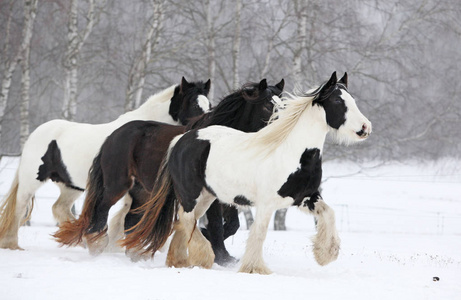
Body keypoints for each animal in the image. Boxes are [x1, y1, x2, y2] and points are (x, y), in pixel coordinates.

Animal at [0, 76, 210, 250]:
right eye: (194, 103)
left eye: (209, 104)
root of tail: (36, 133)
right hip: (31, 181)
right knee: (19, 208)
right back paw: (13, 244)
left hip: (71, 186)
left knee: (59, 208)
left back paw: (79, 238)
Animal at [53, 78, 284, 264]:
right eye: (267, 105)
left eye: (283, 104)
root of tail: (113, 135)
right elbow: (218, 225)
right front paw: (220, 256)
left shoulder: (226, 194)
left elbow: (232, 225)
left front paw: (218, 250)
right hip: (117, 185)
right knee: (101, 210)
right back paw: (98, 246)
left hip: (142, 192)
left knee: (130, 219)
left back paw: (134, 252)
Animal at [121, 71, 370, 274]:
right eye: (337, 100)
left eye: (353, 100)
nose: (365, 128)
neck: (292, 153)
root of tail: (181, 139)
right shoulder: (266, 203)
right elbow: (258, 233)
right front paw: (254, 268)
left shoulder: (305, 197)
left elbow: (329, 213)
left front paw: (325, 254)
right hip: (191, 195)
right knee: (187, 220)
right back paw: (203, 257)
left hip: (207, 197)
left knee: (184, 223)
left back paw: (180, 261)